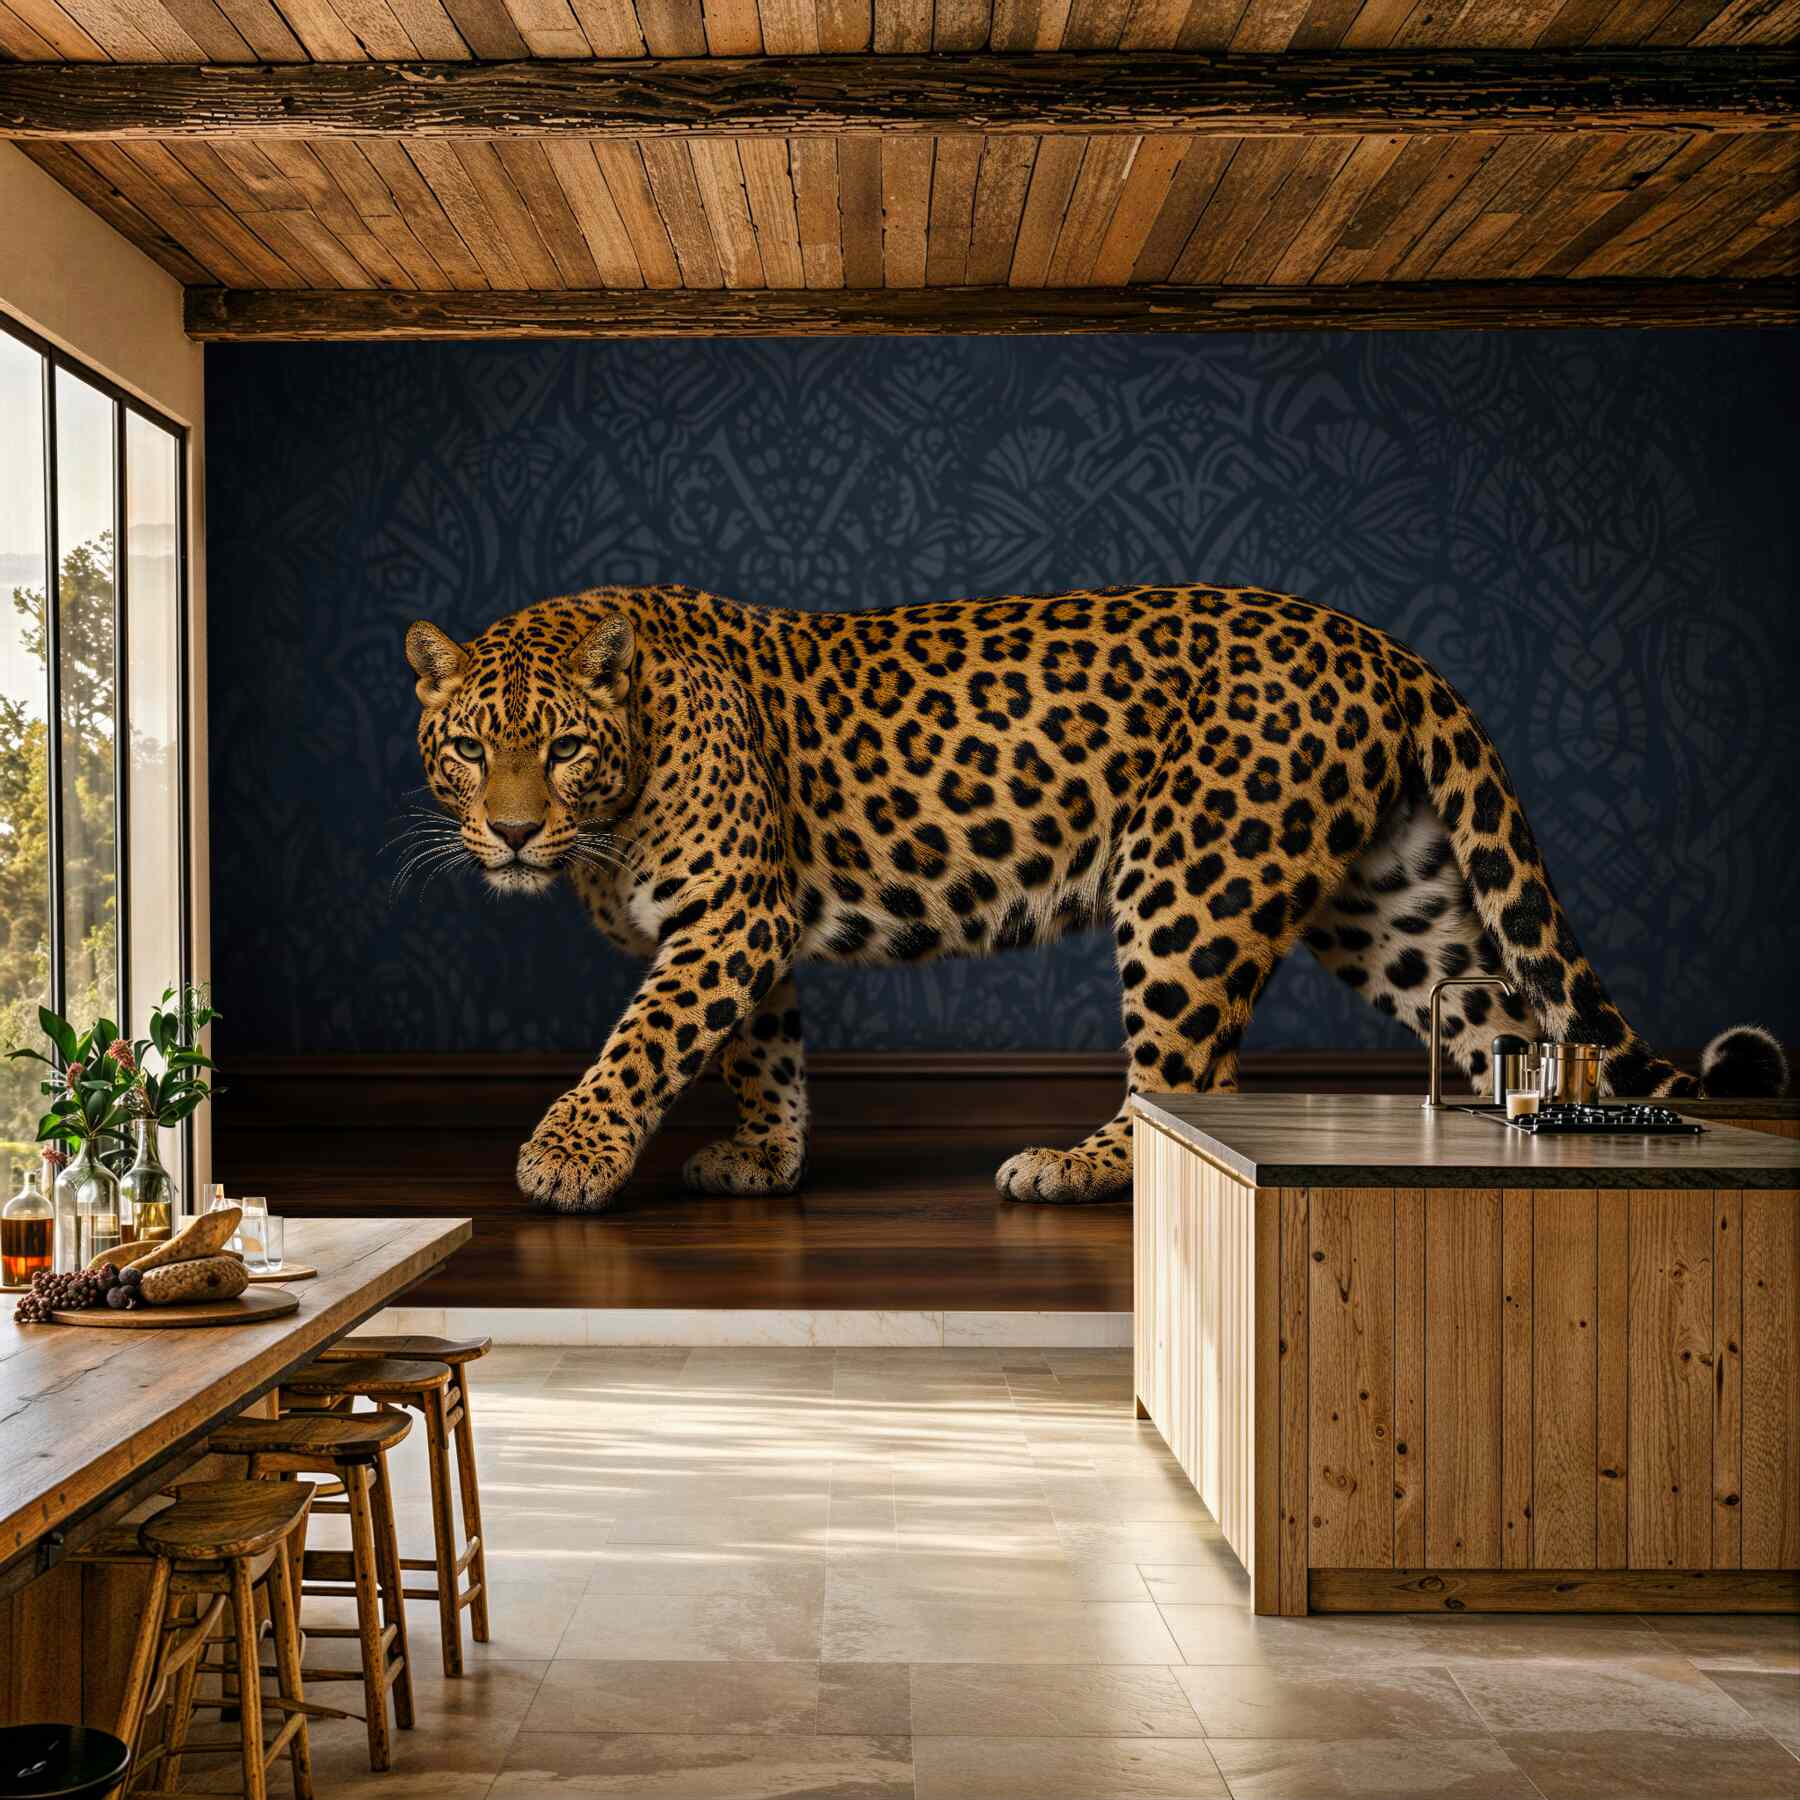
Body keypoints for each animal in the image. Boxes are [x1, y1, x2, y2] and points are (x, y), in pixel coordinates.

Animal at [404, 583, 1788, 1212]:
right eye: (468, 747)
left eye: (561, 749)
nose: (512, 831)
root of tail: (1381, 643)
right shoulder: (755, 927)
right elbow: (761, 1049)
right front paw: (765, 1156)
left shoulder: (726, 918)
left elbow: (643, 1041)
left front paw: (566, 1156)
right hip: (1394, 908)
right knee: (1513, 1032)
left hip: (1190, 884)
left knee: (1190, 1083)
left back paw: (1075, 1166)